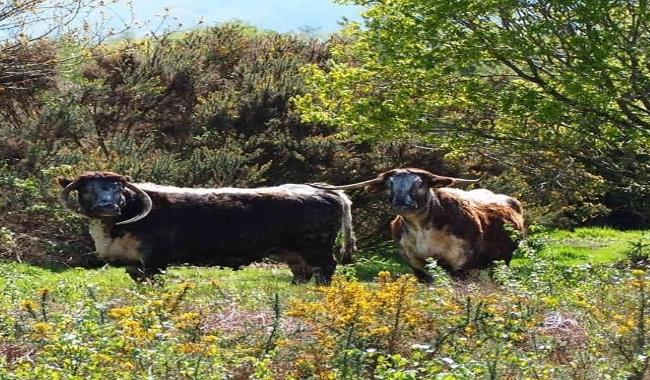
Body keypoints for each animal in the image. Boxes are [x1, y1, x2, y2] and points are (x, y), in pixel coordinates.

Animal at [58, 171, 356, 284]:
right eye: (87, 189)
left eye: (118, 189)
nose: (107, 206)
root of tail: (325, 190)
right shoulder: (134, 264)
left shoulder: (154, 261)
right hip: (293, 252)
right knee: (302, 272)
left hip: (317, 247)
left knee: (326, 268)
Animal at [312, 168, 524, 282]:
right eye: (389, 185)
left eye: (420, 184)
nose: (401, 204)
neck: (423, 230)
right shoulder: (415, 263)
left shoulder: (461, 264)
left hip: (501, 260)